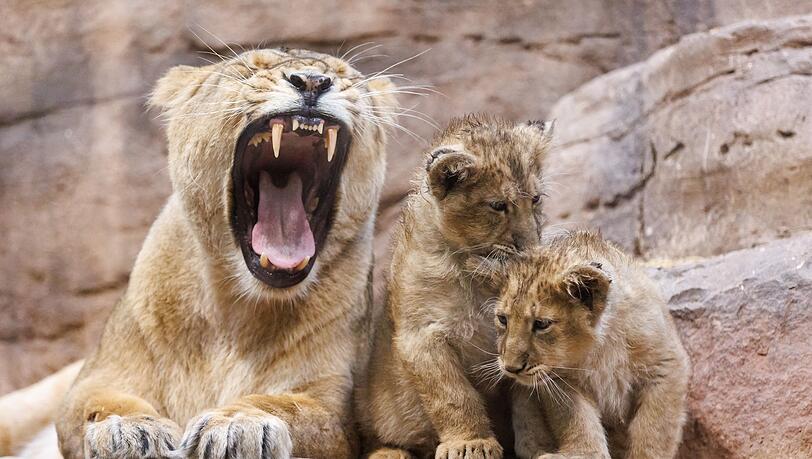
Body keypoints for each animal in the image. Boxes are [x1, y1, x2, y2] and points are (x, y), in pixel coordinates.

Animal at [1, 47, 397, 459]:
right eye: (251, 68)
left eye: (345, 75)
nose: (312, 81)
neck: (237, 312)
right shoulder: (97, 375)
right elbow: (98, 403)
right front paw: (131, 430)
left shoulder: (336, 404)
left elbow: (289, 407)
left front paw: (238, 424)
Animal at [355, 114, 555, 459]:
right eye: (498, 205)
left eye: (536, 199)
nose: (530, 250)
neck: (479, 276)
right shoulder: (423, 335)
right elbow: (453, 395)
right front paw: (471, 443)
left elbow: (529, 407)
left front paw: (538, 449)